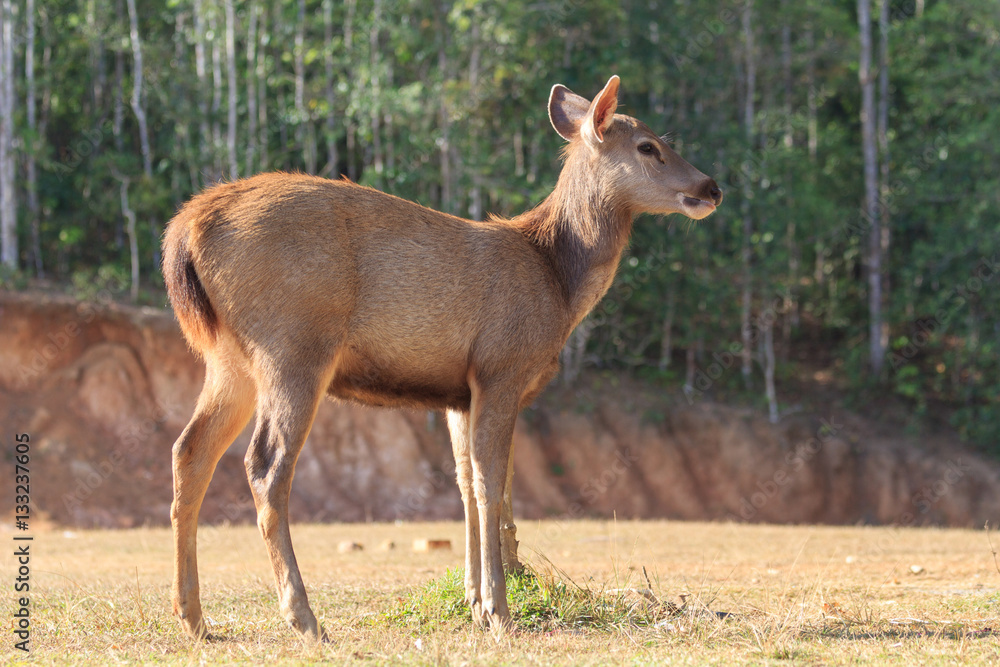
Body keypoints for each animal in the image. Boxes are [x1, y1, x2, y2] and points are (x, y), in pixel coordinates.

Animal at [162, 74, 722, 641]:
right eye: (648, 146)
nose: (711, 188)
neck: (557, 282)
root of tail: (185, 230)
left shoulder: (459, 391)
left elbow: (465, 484)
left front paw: (474, 601)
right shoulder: (502, 365)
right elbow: (492, 483)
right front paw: (498, 610)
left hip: (229, 359)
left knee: (190, 451)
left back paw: (194, 616)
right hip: (293, 344)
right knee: (265, 466)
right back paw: (303, 616)